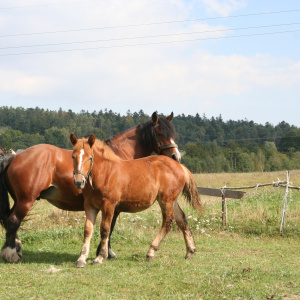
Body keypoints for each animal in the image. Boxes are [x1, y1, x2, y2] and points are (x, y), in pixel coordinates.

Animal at [0, 110, 180, 262]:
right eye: (160, 133)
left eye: (173, 133)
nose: (175, 156)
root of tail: (15, 156)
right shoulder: (112, 206)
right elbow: (109, 227)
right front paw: (104, 252)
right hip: (26, 200)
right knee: (14, 220)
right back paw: (11, 254)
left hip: (19, 199)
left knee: (9, 220)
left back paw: (16, 249)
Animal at [69, 134, 202, 268]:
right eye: (73, 156)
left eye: (90, 158)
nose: (79, 181)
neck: (105, 173)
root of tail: (180, 166)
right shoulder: (89, 206)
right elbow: (87, 230)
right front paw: (82, 258)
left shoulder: (108, 205)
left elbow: (105, 229)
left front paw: (100, 257)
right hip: (171, 200)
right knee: (182, 219)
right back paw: (190, 251)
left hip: (166, 200)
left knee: (168, 221)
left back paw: (151, 252)